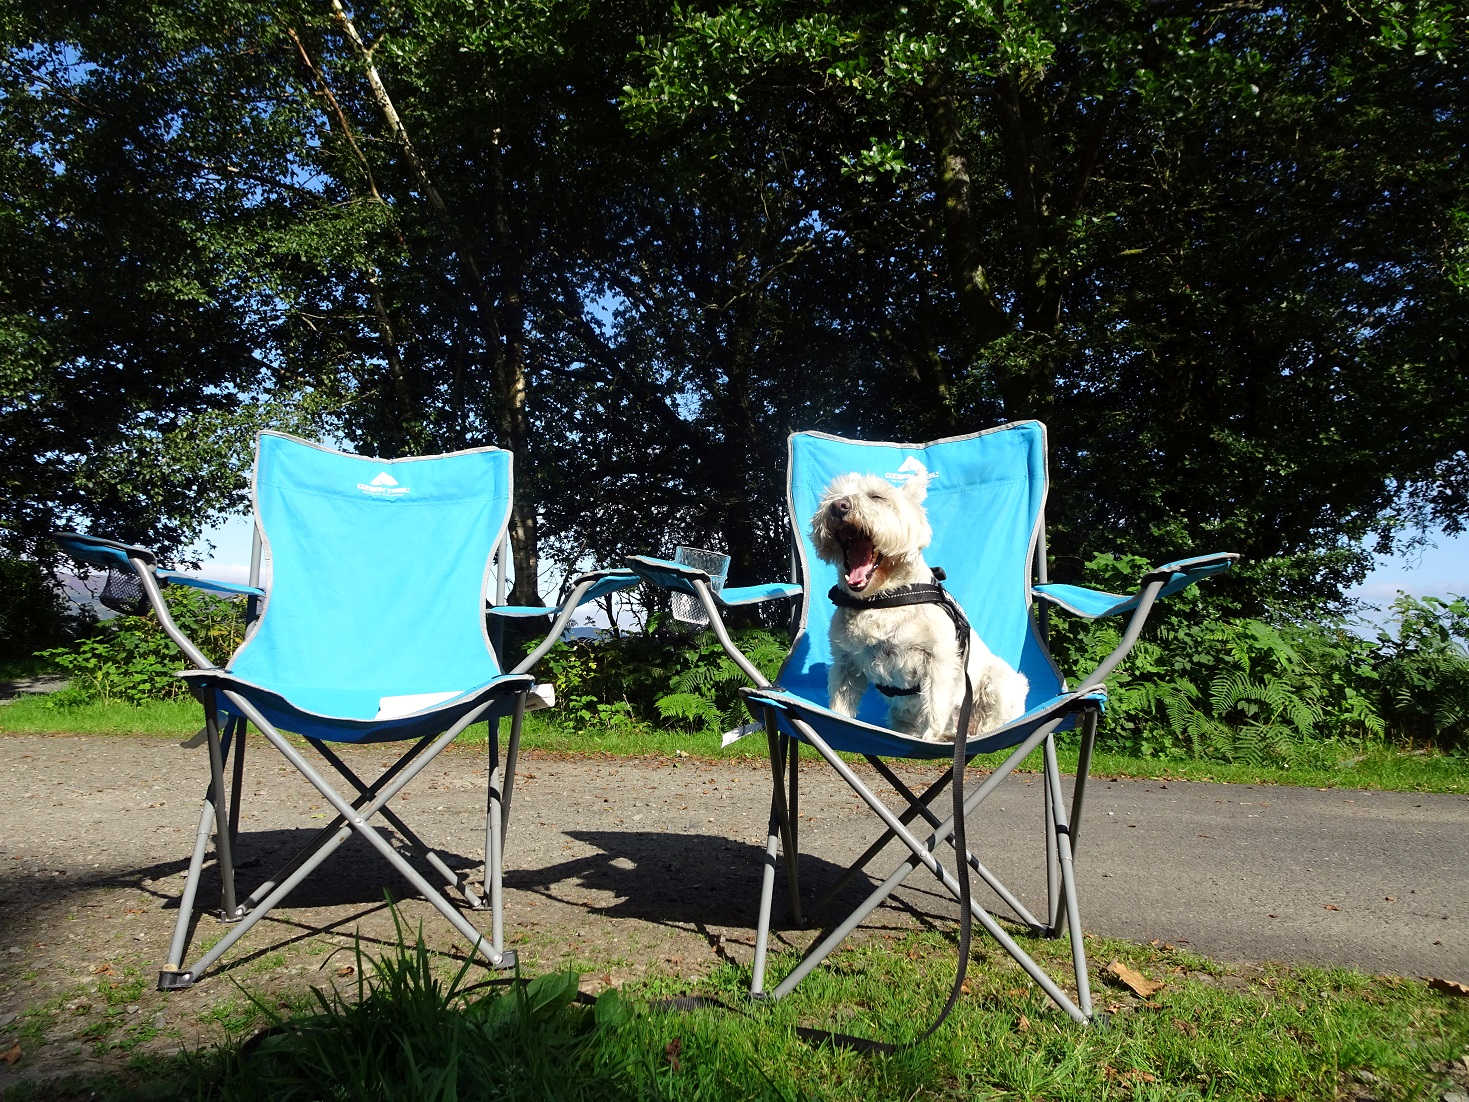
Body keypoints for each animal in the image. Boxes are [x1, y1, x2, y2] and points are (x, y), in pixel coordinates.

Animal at [810, 467, 1028, 743]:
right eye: (831, 497)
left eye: (877, 496)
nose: (838, 506)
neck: (881, 600)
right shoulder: (846, 663)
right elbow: (840, 704)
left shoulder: (939, 662)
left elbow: (935, 708)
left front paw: (930, 737)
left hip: (999, 683)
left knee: (989, 719)